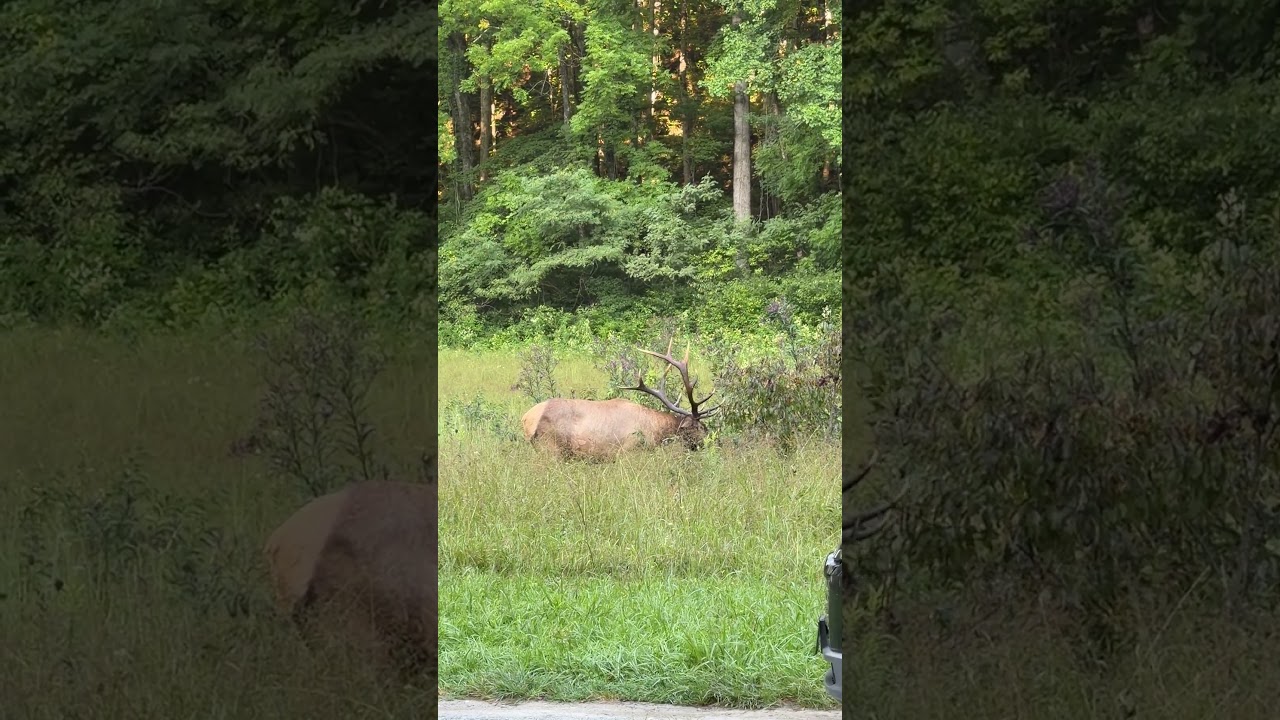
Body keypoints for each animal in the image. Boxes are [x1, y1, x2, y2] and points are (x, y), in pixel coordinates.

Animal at [521, 340, 719, 460]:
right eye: (701, 428)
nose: (716, 442)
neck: (656, 431)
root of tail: (526, 419)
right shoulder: (628, 451)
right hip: (551, 449)